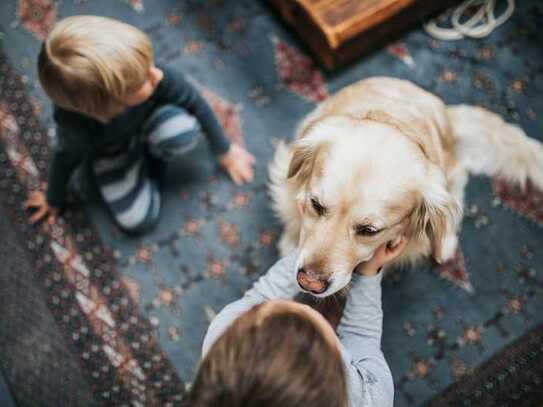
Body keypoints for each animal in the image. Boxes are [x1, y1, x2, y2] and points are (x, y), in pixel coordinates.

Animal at [270, 78, 543, 298]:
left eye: (369, 231)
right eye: (315, 205)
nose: (309, 283)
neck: (392, 119)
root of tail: (447, 112)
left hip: (450, 175)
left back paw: (445, 245)